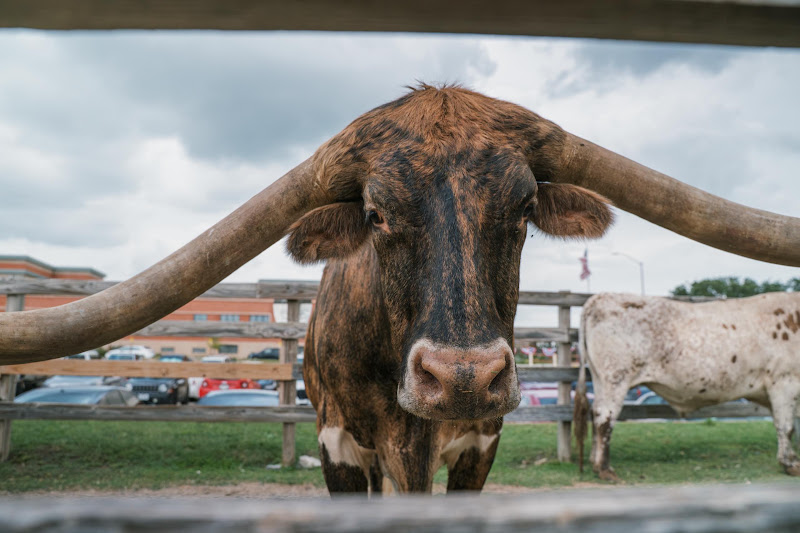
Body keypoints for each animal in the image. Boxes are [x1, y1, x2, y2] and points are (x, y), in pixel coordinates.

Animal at [574, 292, 800, 481]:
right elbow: (786, 427)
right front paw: (790, 464)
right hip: (615, 378)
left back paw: (595, 463)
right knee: (605, 418)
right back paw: (605, 469)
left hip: (600, 378)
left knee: (596, 414)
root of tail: (600, 297)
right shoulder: (784, 381)